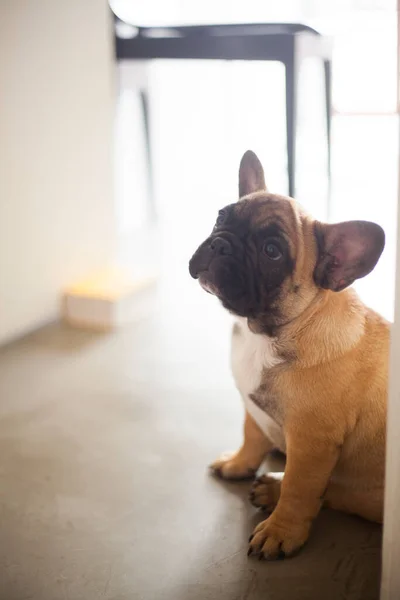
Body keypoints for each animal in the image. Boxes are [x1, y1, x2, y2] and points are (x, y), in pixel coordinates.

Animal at [189, 151, 390, 564]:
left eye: (272, 251)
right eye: (221, 218)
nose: (220, 244)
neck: (267, 333)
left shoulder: (312, 442)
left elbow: (302, 489)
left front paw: (281, 531)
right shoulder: (251, 407)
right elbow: (251, 437)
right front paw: (239, 464)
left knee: (340, 495)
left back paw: (274, 492)